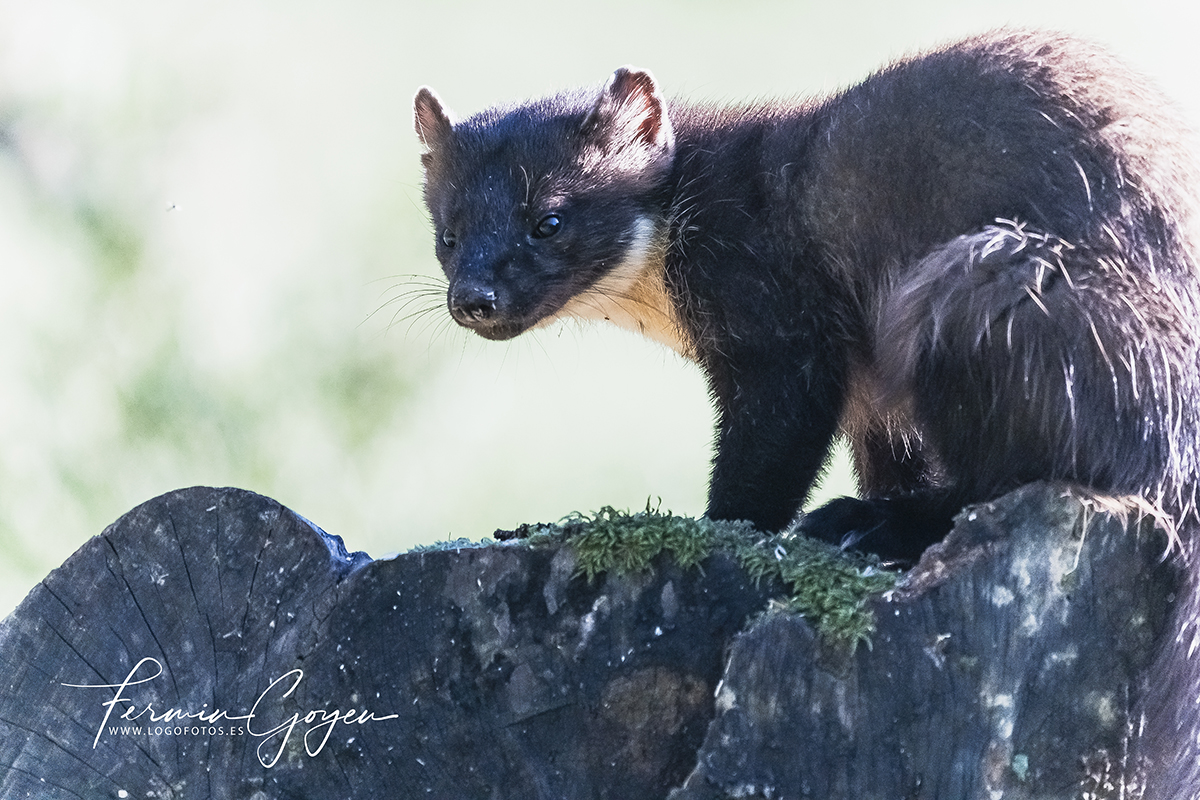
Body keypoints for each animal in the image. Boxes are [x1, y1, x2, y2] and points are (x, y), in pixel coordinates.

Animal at [415, 30, 1200, 796]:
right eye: (447, 233)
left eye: (549, 218)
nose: (474, 299)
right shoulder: (873, 401)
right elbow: (893, 456)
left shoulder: (785, 337)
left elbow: (771, 455)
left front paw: (726, 526)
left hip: (980, 285)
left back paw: (862, 522)